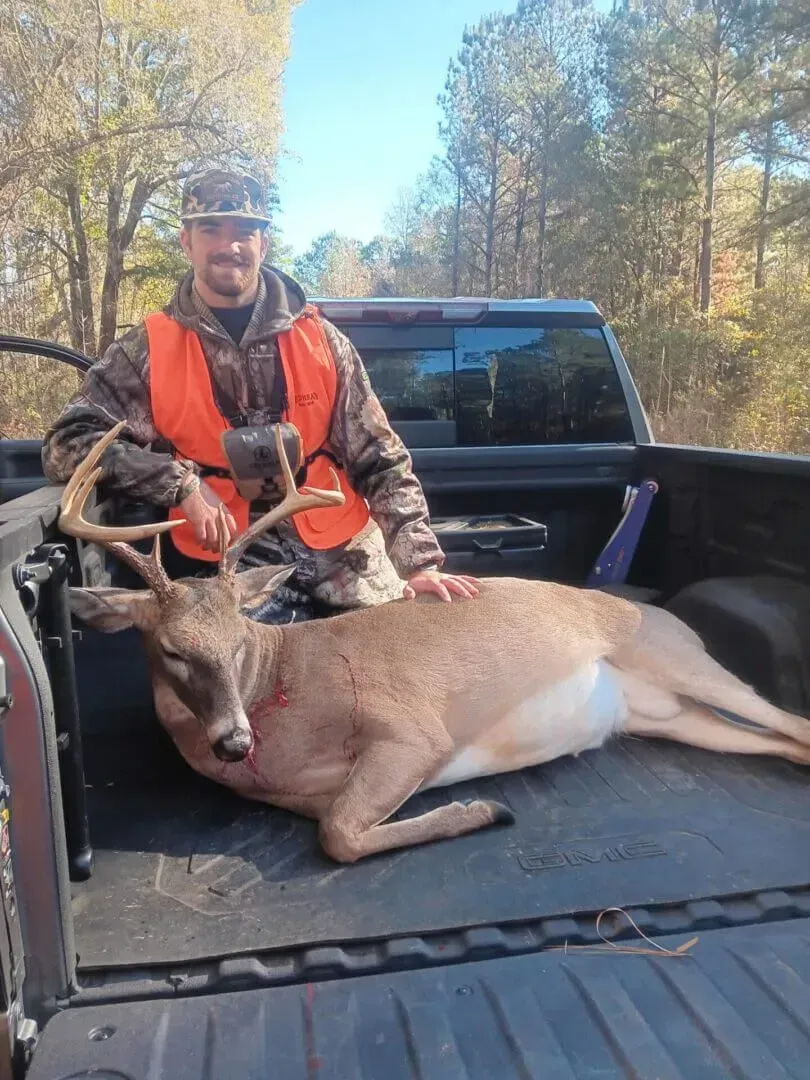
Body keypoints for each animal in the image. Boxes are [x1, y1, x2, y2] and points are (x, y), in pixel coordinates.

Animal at [58, 421, 810, 864]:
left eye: (240, 640)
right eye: (171, 650)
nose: (234, 741)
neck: (285, 691)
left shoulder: (412, 729)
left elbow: (339, 837)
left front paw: (483, 809)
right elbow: (337, 828)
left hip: (674, 656)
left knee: (790, 720)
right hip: (667, 716)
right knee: (775, 739)